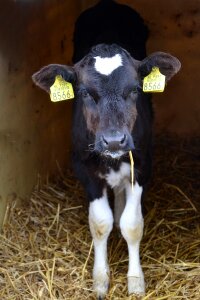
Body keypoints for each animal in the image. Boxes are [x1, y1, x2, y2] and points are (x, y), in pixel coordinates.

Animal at [32, 2, 180, 300]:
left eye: (135, 90)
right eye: (84, 93)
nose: (113, 141)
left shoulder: (142, 164)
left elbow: (132, 225)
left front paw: (135, 280)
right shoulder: (84, 167)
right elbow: (101, 224)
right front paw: (100, 279)